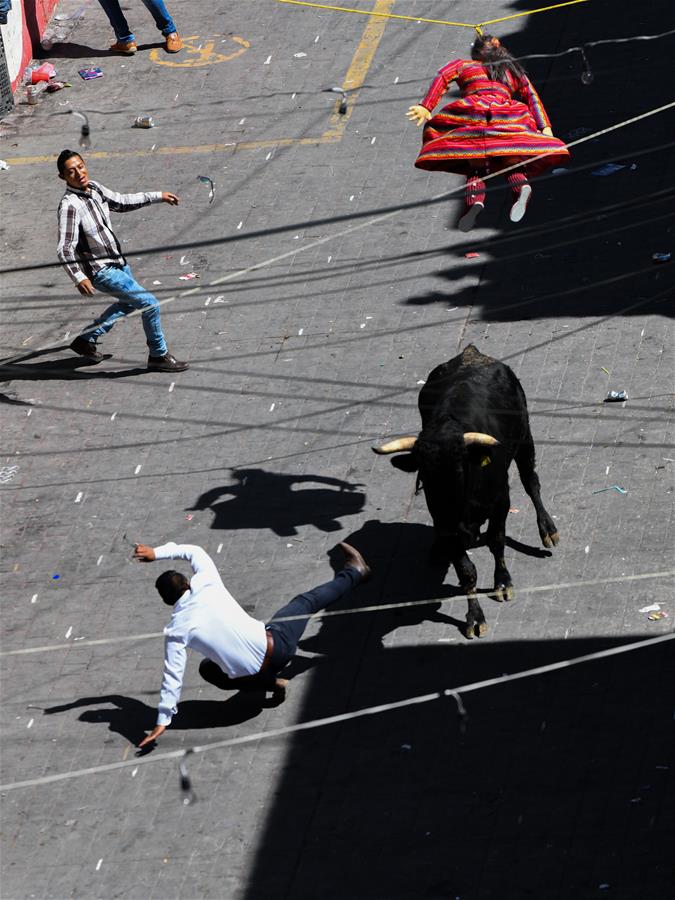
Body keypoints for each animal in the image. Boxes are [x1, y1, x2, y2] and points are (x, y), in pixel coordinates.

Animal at [372, 342, 556, 636]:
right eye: (424, 473)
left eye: (458, 468)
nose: (448, 508)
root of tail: (471, 352)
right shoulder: (446, 524)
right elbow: (466, 570)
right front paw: (475, 617)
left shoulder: (500, 501)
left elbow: (496, 541)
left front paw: (502, 582)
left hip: (525, 437)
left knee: (531, 481)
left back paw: (548, 529)